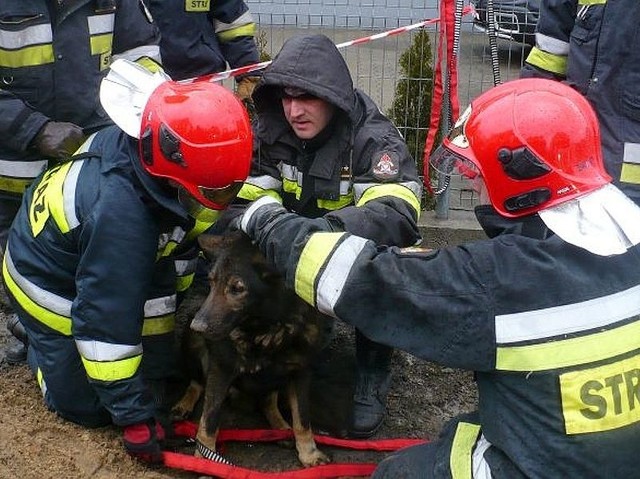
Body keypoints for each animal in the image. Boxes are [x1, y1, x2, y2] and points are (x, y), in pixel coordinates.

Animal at [171, 231, 330, 466]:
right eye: (211, 282)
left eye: (237, 288)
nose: (197, 326)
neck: (265, 326)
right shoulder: (221, 369)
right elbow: (208, 421)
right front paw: (206, 458)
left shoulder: (301, 372)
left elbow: (302, 420)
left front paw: (309, 453)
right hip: (193, 346)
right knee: (197, 382)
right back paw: (184, 404)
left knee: (267, 401)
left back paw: (280, 428)